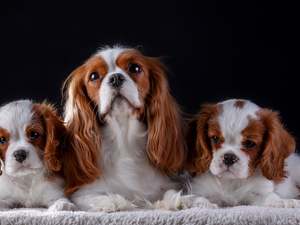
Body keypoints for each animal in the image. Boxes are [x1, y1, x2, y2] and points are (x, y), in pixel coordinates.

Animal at [62, 46, 192, 213]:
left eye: (134, 68)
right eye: (94, 76)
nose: (115, 78)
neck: (123, 139)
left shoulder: (169, 182)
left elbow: (170, 190)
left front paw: (174, 200)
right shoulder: (82, 193)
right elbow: (95, 197)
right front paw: (114, 202)